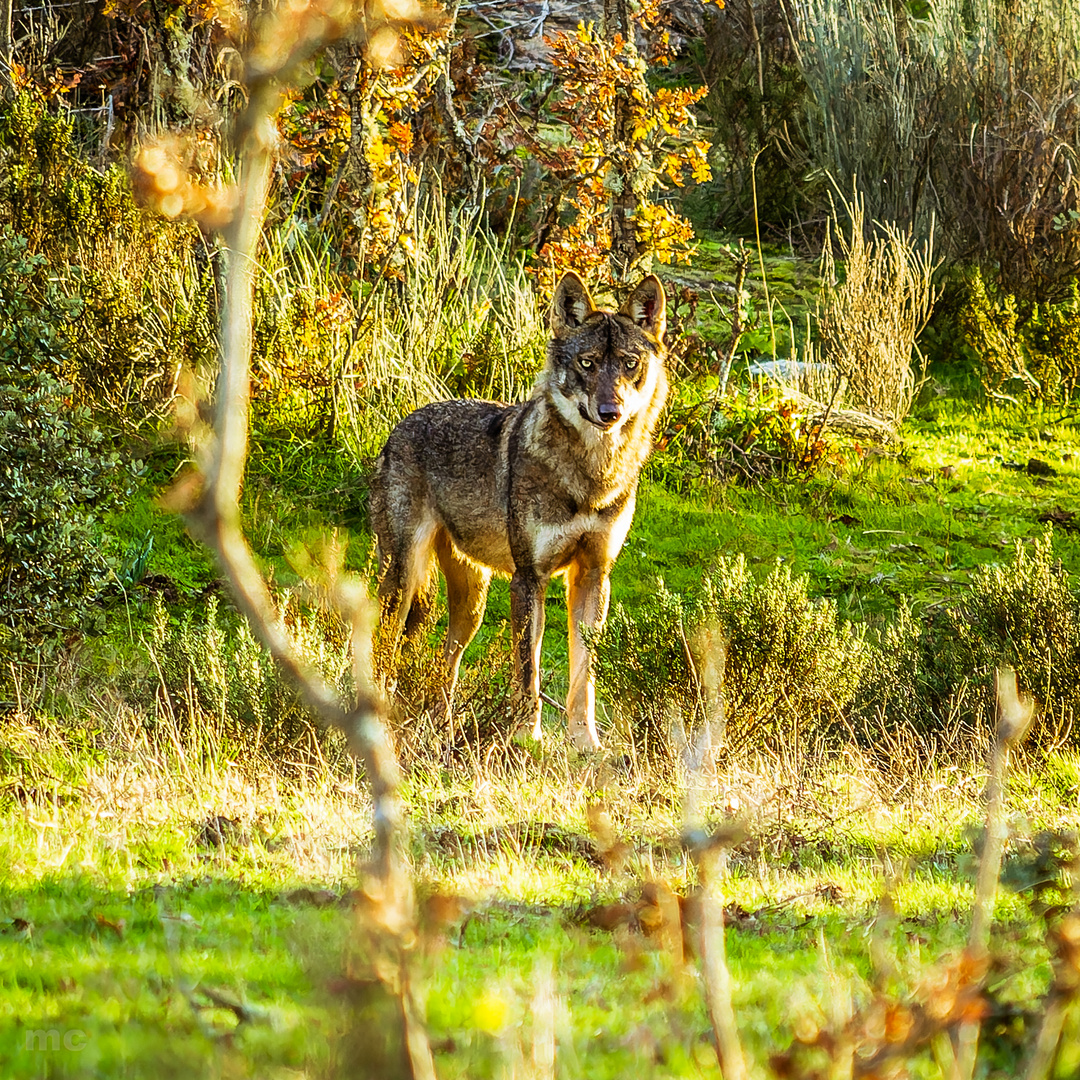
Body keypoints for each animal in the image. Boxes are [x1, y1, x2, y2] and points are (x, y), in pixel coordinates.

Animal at [375, 270, 669, 751]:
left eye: (628, 364)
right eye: (587, 363)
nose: (610, 411)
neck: (591, 476)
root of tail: (400, 425)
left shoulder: (593, 574)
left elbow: (583, 677)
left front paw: (585, 743)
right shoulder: (529, 577)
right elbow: (528, 670)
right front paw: (525, 737)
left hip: (471, 603)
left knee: (445, 663)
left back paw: (441, 729)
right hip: (405, 580)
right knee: (382, 644)